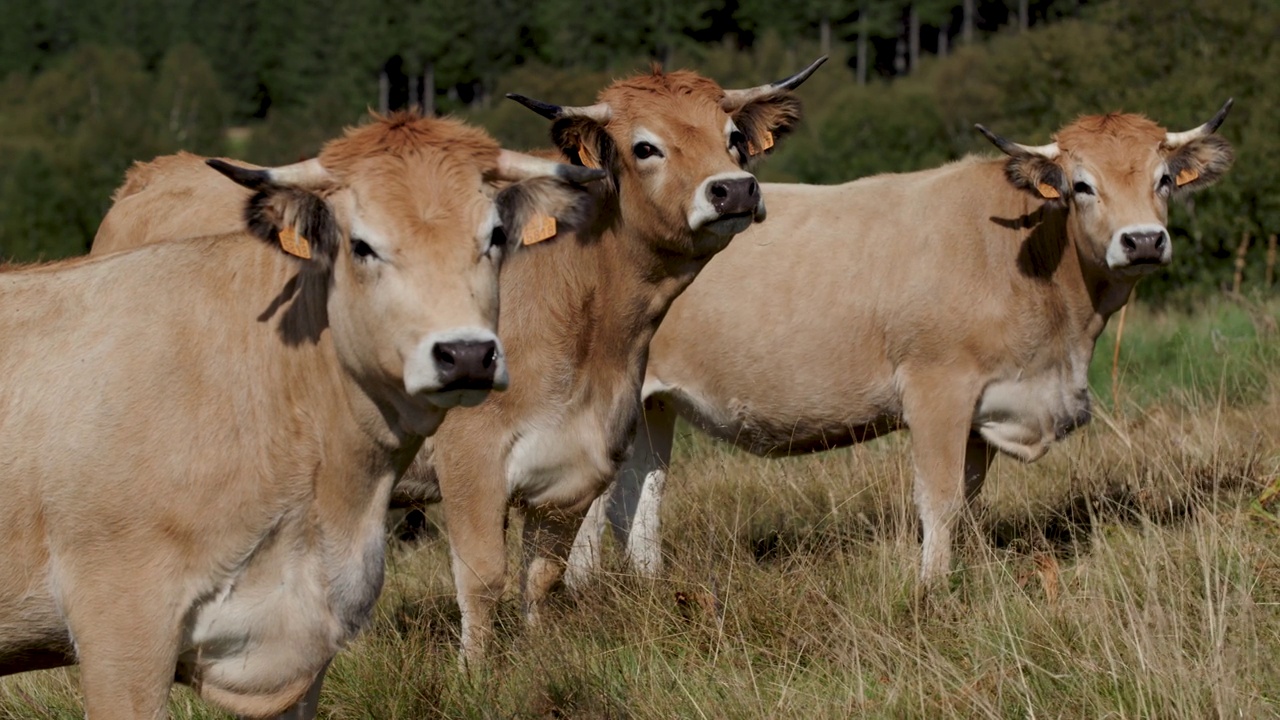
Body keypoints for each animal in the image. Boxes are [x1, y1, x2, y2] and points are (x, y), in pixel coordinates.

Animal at [565, 103, 1233, 591]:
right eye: (1082, 185)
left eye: (1164, 179)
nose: (1142, 241)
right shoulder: (938, 390)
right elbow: (938, 500)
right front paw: (932, 591)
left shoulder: (985, 409)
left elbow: (966, 500)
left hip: (652, 405)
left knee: (638, 500)